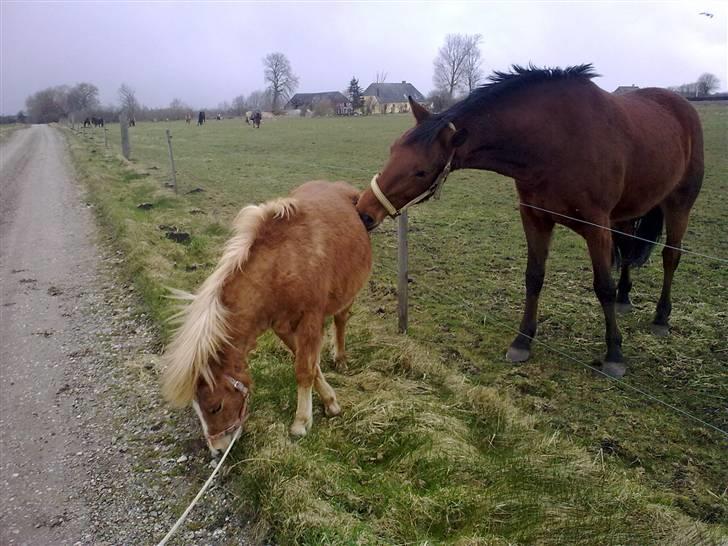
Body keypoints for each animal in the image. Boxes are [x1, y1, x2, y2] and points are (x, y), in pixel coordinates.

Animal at [161, 178, 372, 450]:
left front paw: (301, 422)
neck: (282, 265)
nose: (218, 450)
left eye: (215, 407)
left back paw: (341, 358)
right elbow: (310, 365)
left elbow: (304, 369)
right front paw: (330, 402)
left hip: (347, 294)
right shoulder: (282, 326)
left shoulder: (310, 320)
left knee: (341, 320)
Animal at [356, 63, 704, 376]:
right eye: (393, 149)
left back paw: (661, 318)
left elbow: (602, 285)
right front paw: (522, 341)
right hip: (626, 214)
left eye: (421, 171)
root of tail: (682, 106)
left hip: (678, 204)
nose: (364, 211)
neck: (555, 142)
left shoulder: (596, 227)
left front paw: (614, 353)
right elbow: (534, 277)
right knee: (629, 250)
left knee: (670, 256)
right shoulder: (535, 218)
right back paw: (625, 298)